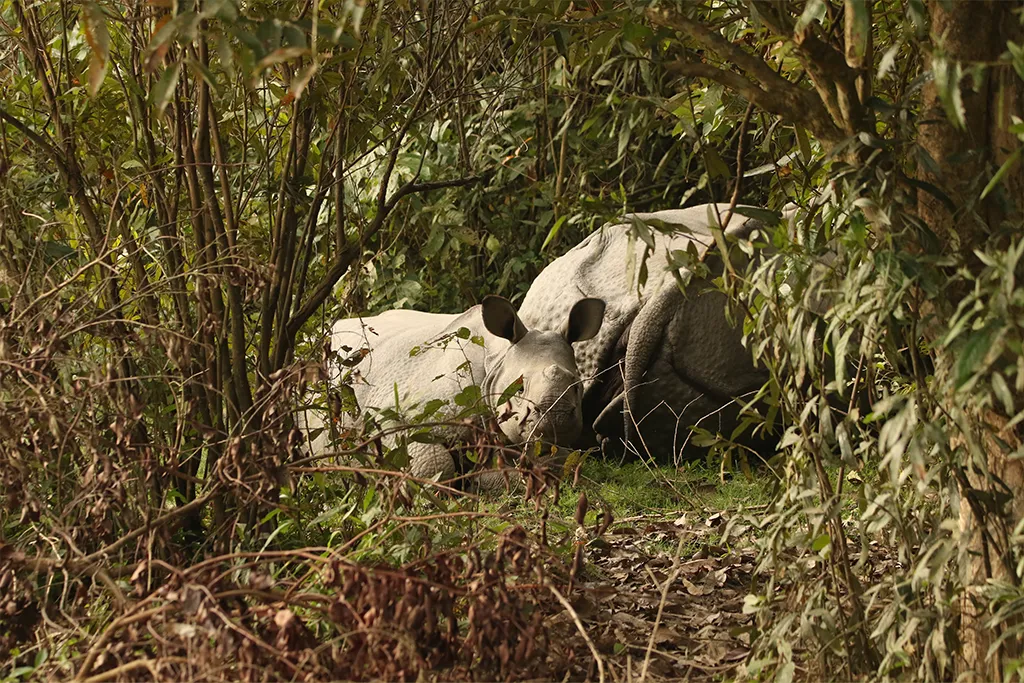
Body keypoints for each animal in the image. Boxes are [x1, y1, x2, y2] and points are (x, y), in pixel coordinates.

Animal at [303, 295, 605, 488]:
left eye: (577, 386)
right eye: (519, 387)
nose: (557, 417)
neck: (498, 357)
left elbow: (557, 461)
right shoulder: (391, 415)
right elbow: (435, 466)